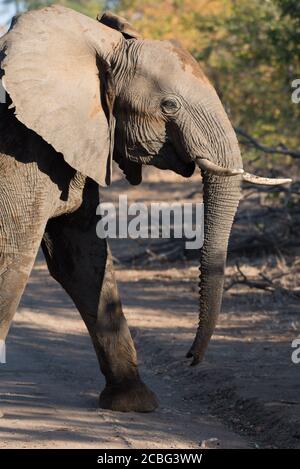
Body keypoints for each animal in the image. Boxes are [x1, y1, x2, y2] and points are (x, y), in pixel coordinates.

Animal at [0, 6, 290, 410]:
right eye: (170, 106)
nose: (190, 358)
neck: (97, 45)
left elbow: (82, 262)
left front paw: (133, 403)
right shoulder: (22, 147)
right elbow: (14, 255)